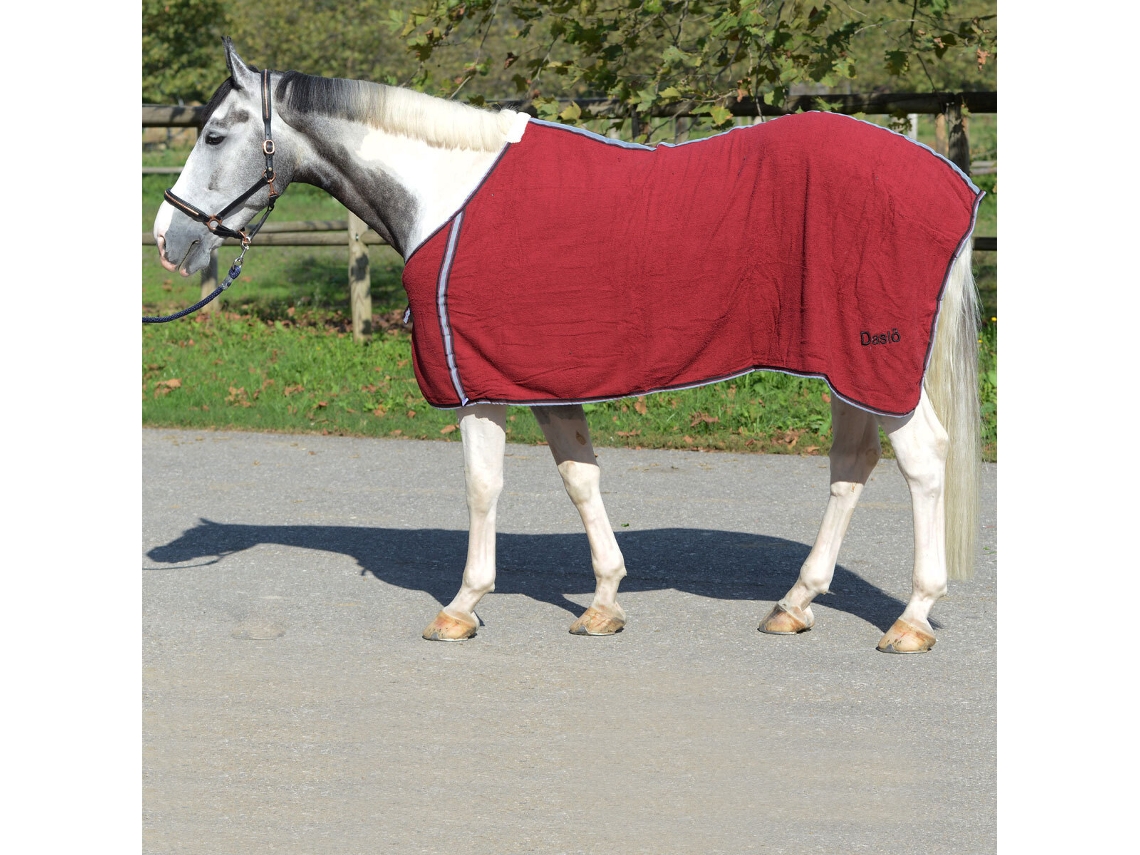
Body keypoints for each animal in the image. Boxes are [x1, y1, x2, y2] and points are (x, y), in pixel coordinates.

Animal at [152, 39, 983, 653]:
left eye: (215, 134)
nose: (168, 238)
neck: (446, 192)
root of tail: (953, 183)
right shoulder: (542, 381)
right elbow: (581, 479)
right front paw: (605, 600)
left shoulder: (479, 384)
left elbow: (482, 488)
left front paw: (461, 605)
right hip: (848, 366)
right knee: (851, 466)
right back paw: (796, 601)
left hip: (877, 360)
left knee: (922, 461)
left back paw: (912, 617)